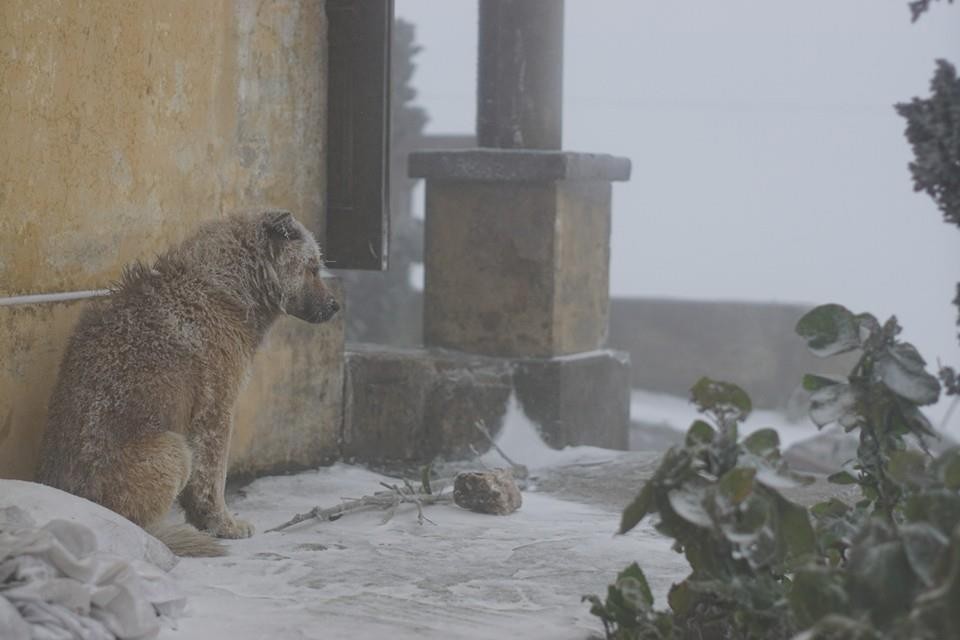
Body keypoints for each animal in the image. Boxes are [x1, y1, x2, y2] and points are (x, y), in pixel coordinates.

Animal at [39, 210, 340, 556]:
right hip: (174, 448)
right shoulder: (216, 409)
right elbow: (212, 477)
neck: (230, 288)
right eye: (312, 267)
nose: (335, 306)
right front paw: (225, 526)